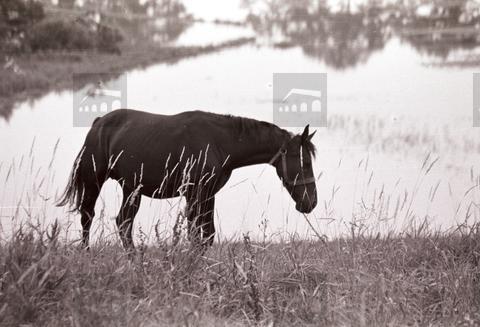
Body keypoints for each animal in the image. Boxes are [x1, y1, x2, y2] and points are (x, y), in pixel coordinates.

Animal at [57, 110, 318, 251]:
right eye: (305, 162)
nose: (311, 202)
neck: (219, 142)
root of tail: (99, 122)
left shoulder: (208, 194)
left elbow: (207, 234)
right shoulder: (194, 194)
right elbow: (195, 234)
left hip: (131, 188)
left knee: (123, 222)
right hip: (93, 181)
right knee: (87, 216)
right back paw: (87, 252)